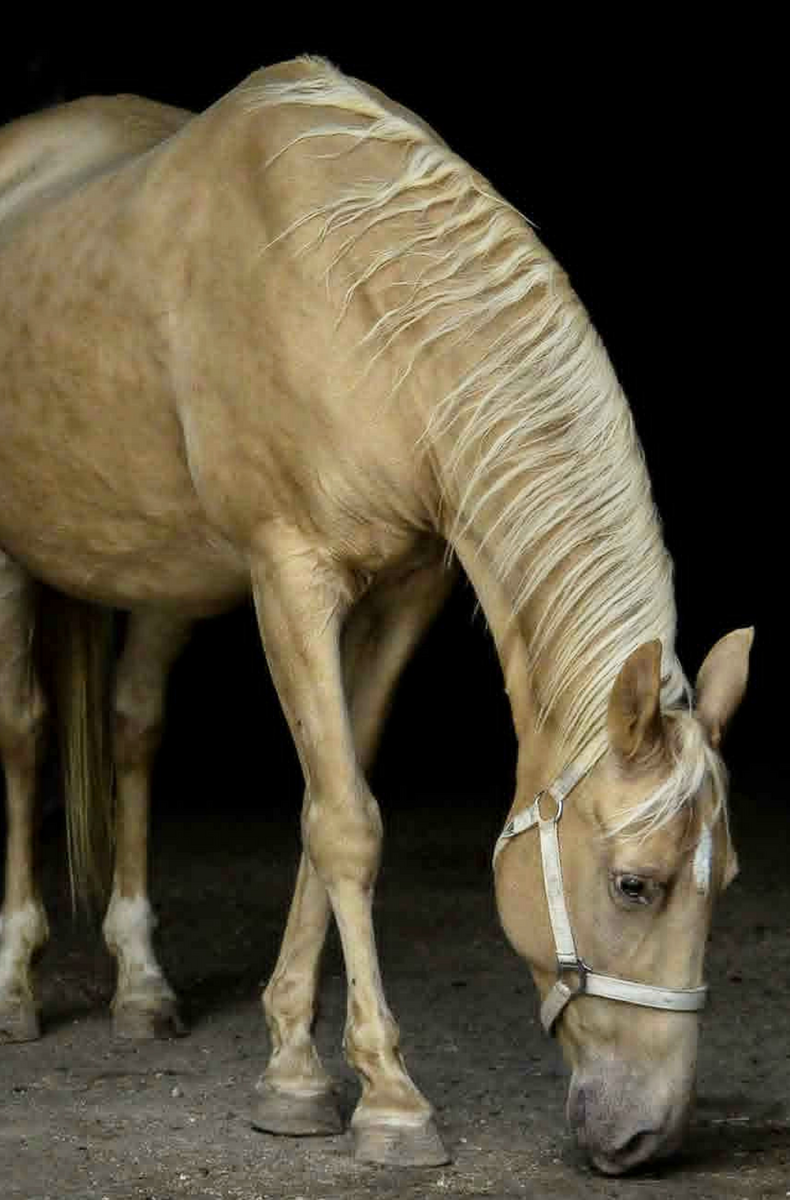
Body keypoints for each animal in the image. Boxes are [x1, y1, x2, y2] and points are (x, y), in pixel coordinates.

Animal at [0, 58, 752, 1176]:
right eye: (633, 885)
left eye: (728, 877)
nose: (647, 1136)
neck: (351, 294)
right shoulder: (291, 578)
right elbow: (346, 823)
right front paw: (390, 1099)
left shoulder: (408, 592)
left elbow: (331, 807)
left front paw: (294, 1071)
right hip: (15, 560)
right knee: (22, 736)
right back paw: (14, 980)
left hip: (161, 568)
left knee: (134, 731)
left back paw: (140, 983)